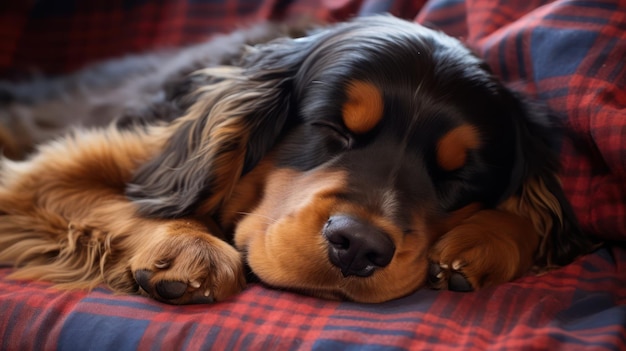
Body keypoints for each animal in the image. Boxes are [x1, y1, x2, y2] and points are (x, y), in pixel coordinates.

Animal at [0, 15, 596, 304]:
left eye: (456, 176)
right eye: (332, 129)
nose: (358, 247)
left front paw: (486, 239)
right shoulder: (52, 171)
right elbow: (132, 202)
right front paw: (190, 248)